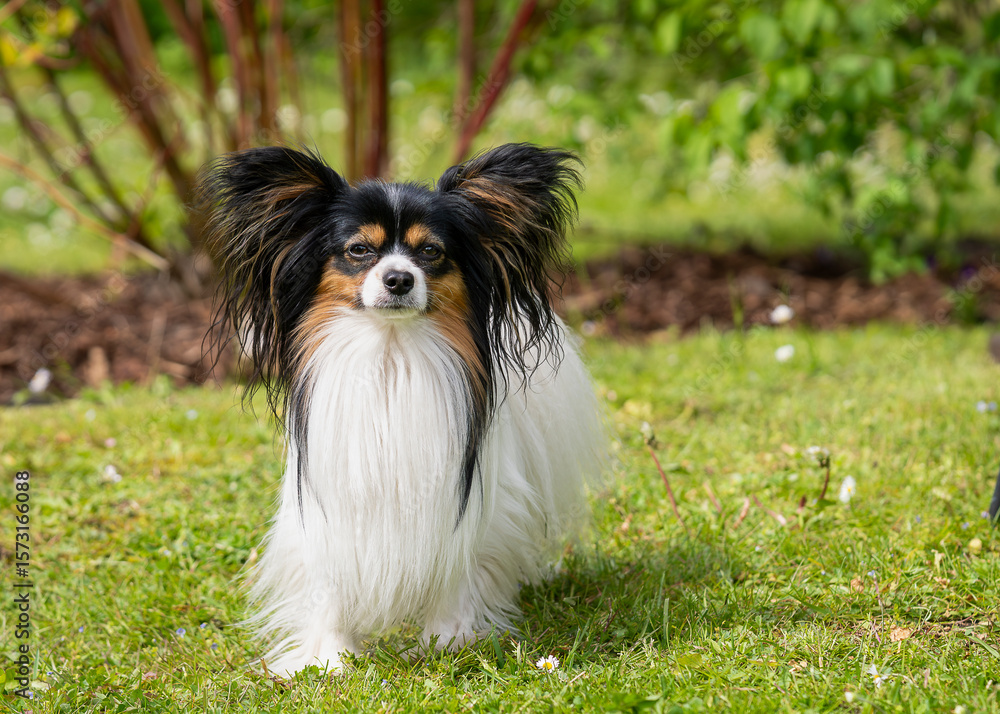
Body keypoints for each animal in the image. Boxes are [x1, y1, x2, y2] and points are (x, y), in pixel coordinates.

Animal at [197, 143, 605, 676]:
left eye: (430, 251)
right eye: (358, 250)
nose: (398, 279)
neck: (390, 358)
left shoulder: (465, 505)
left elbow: (459, 569)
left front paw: (448, 641)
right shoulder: (330, 505)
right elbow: (328, 586)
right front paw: (328, 659)